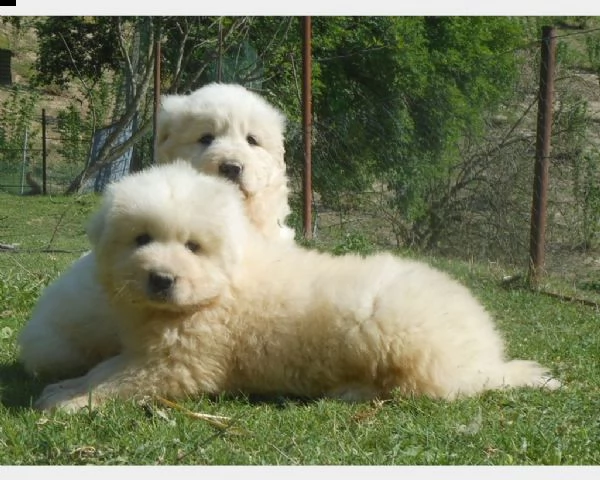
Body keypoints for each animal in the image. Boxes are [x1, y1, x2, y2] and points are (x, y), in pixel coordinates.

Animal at [34, 162, 564, 412]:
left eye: (193, 247)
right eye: (141, 239)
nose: (161, 279)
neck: (218, 290)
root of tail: (486, 354)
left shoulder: (179, 366)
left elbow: (119, 384)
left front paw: (69, 403)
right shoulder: (147, 351)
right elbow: (104, 368)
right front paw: (65, 386)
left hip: (391, 330)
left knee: (418, 387)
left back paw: (349, 392)